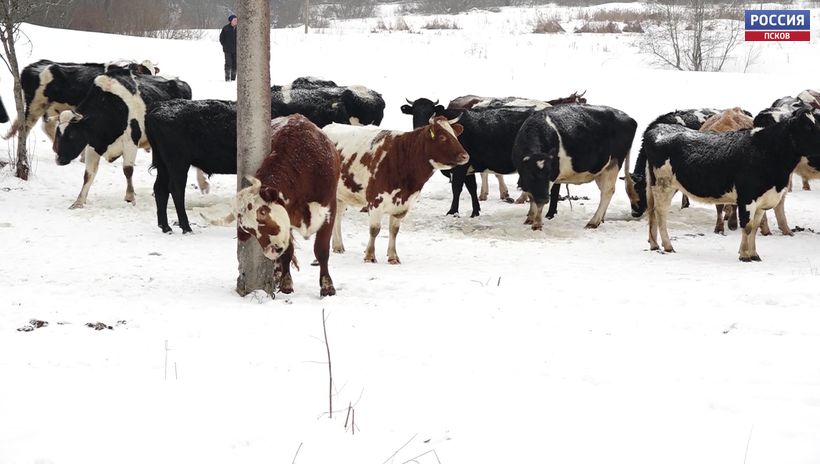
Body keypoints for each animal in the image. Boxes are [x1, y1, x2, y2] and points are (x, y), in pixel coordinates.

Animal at [54, 68, 192, 208]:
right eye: (58, 133)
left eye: (72, 134)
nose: (59, 160)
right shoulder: (93, 145)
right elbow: (88, 174)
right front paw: (79, 201)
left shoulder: (130, 143)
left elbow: (128, 170)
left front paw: (130, 197)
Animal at [213, 116, 342, 298]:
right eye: (249, 230)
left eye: (263, 213)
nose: (271, 251)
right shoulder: (287, 220)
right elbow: (288, 252)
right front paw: (286, 282)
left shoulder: (329, 209)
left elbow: (321, 250)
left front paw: (327, 285)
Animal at [326, 115, 470, 264]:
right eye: (442, 137)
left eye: (455, 135)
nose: (465, 156)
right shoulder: (375, 200)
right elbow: (374, 229)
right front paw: (370, 256)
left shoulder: (403, 204)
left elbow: (394, 230)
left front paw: (393, 257)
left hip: (342, 195)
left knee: (337, 216)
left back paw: (338, 245)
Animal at [400, 98, 536, 218]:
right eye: (414, 112)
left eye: (431, 111)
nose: (420, 129)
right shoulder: (468, 169)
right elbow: (472, 188)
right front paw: (475, 211)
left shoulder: (461, 167)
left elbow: (456, 188)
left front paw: (453, 212)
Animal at [644, 108, 820, 260]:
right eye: (807, 127)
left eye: (816, 123)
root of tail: (659, 127)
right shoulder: (747, 198)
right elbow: (747, 227)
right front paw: (744, 255)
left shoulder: (763, 200)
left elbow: (754, 227)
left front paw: (754, 255)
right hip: (663, 185)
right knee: (660, 213)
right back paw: (668, 246)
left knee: (652, 212)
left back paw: (654, 244)